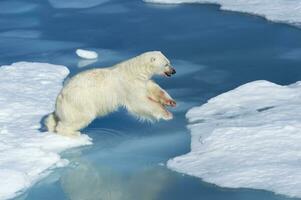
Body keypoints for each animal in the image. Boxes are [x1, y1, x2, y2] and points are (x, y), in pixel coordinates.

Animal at [44, 50, 176, 137]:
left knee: (55, 117)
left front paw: (170, 102)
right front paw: (167, 114)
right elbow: (140, 103)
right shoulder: (128, 86)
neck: (135, 71)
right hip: (80, 102)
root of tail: (61, 95)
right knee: (79, 118)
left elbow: (153, 89)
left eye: (169, 61)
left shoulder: (141, 82)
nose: (174, 71)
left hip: (67, 107)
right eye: (166, 64)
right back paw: (74, 133)